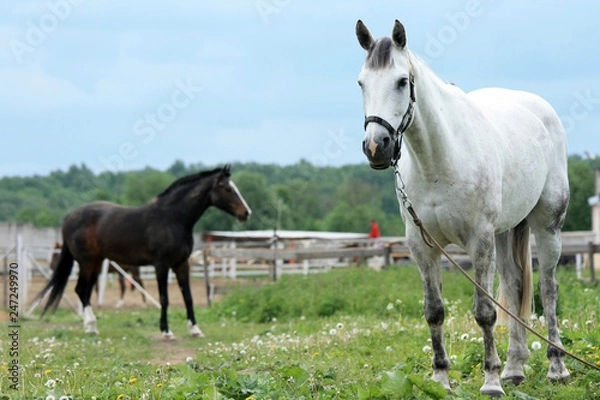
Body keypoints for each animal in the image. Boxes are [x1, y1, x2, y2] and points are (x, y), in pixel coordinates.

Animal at [35, 166, 251, 338]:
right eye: (228, 188)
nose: (246, 213)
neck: (173, 218)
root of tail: (69, 217)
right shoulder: (161, 265)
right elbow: (164, 298)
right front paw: (166, 331)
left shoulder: (182, 264)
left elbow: (188, 297)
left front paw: (195, 330)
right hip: (86, 262)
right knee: (81, 290)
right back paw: (91, 326)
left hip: (96, 262)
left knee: (85, 291)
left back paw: (91, 328)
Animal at [356, 19, 572, 396]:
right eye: (361, 83)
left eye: (401, 81)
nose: (376, 146)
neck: (440, 160)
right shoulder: (422, 245)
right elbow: (434, 311)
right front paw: (441, 379)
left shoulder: (479, 240)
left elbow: (485, 311)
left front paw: (491, 381)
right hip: (505, 231)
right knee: (514, 287)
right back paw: (514, 368)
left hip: (548, 226)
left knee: (548, 289)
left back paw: (556, 366)